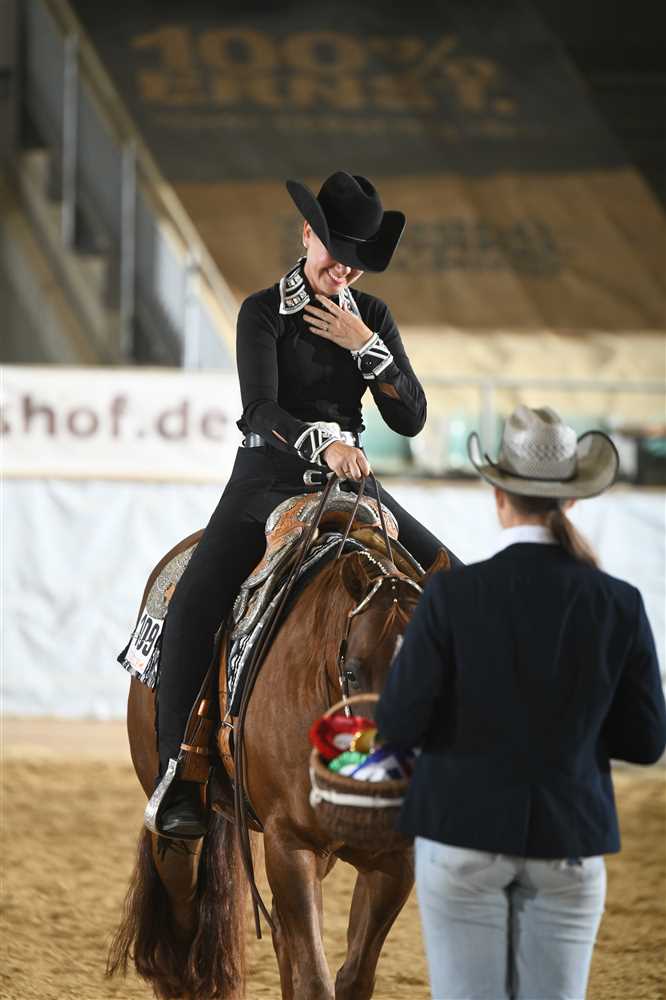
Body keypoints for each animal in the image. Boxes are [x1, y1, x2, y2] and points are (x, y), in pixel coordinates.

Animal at [108, 513, 448, 999]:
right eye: (352, 672)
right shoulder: (289, 845)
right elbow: (314, 979)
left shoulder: (392, 859)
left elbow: (353, 976)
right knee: (181, 902)